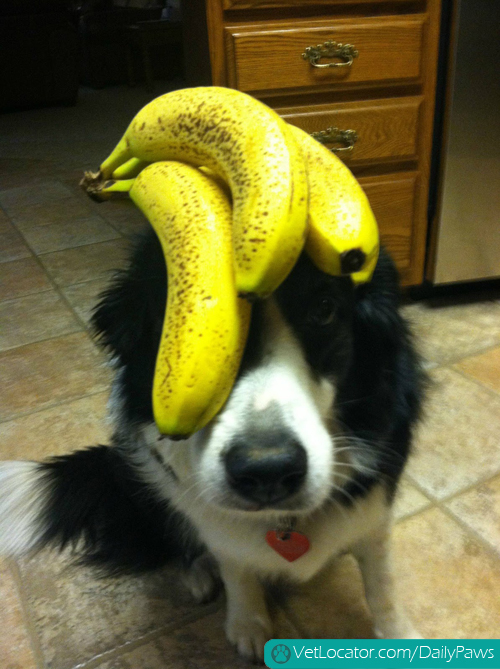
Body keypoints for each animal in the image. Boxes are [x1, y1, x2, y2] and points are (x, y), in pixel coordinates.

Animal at [0, 228, 426, 656]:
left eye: (324, 309)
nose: (267, 471)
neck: (282, 523)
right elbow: (235, 567)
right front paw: (248, 622)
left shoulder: (374, 511)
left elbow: (382, 583)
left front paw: (399, 637)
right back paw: (199, 573)